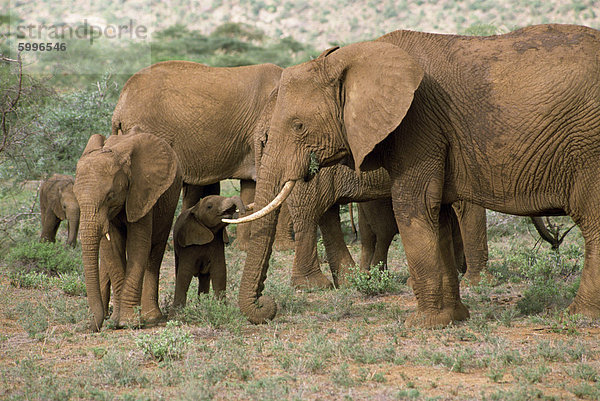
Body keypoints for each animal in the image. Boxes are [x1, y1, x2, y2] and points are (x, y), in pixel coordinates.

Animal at [73, 133, 180, 330]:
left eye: (110, 196)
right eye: (75, 196)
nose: (91, 326)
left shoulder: (142, 193)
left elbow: (138, 245)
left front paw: (128, 322)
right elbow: (111, 248)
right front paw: (117, 321)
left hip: (169, 201)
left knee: (155, 251)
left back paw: (151, 318)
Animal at [229, 24, 600, 324]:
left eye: (299, 125)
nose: (269, 307)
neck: (356, 56)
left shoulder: (419, 122)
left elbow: (415, 204)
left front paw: (423, 324)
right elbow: (438, 215)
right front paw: (452, 318)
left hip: (588, 145)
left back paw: (578, 316)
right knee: (317, 212)